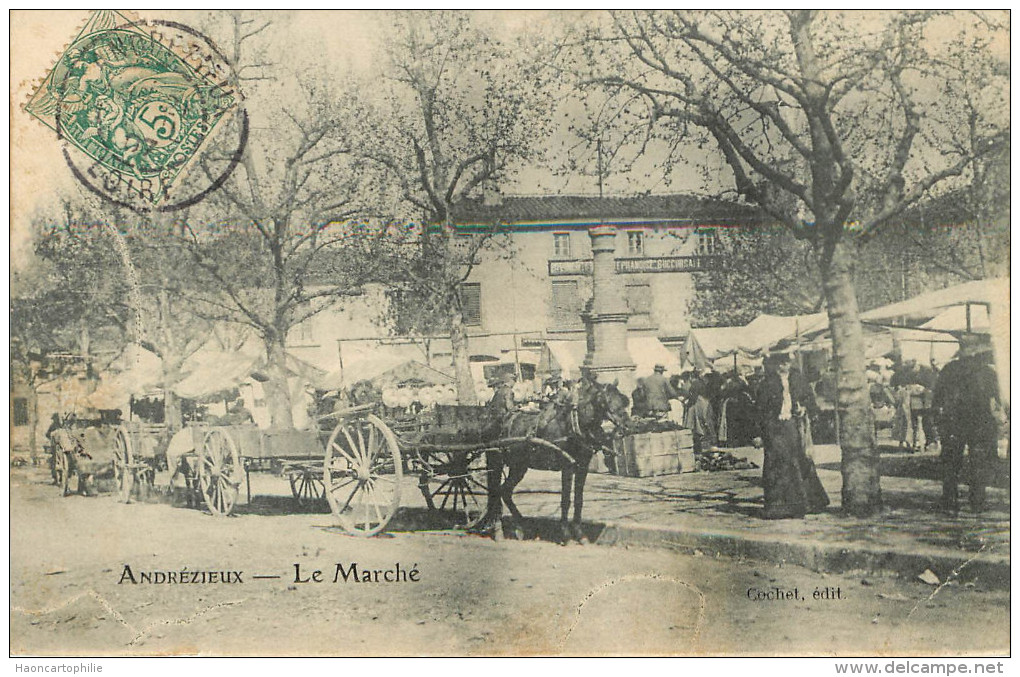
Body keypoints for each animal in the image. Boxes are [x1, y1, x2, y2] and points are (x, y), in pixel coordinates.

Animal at [475, 381, 628, 546]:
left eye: (622, 399)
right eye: (607, 400)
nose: (627, 425)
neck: (573, 423)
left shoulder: (583, 467)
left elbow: (579, 500)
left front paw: (580, 534)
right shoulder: (567, 466)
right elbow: (566, 500)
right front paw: (566, 535)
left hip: (519, 466)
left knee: (505, 491)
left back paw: (523, 527)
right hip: (496, 461)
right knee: (496, 492)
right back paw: (498, 531)